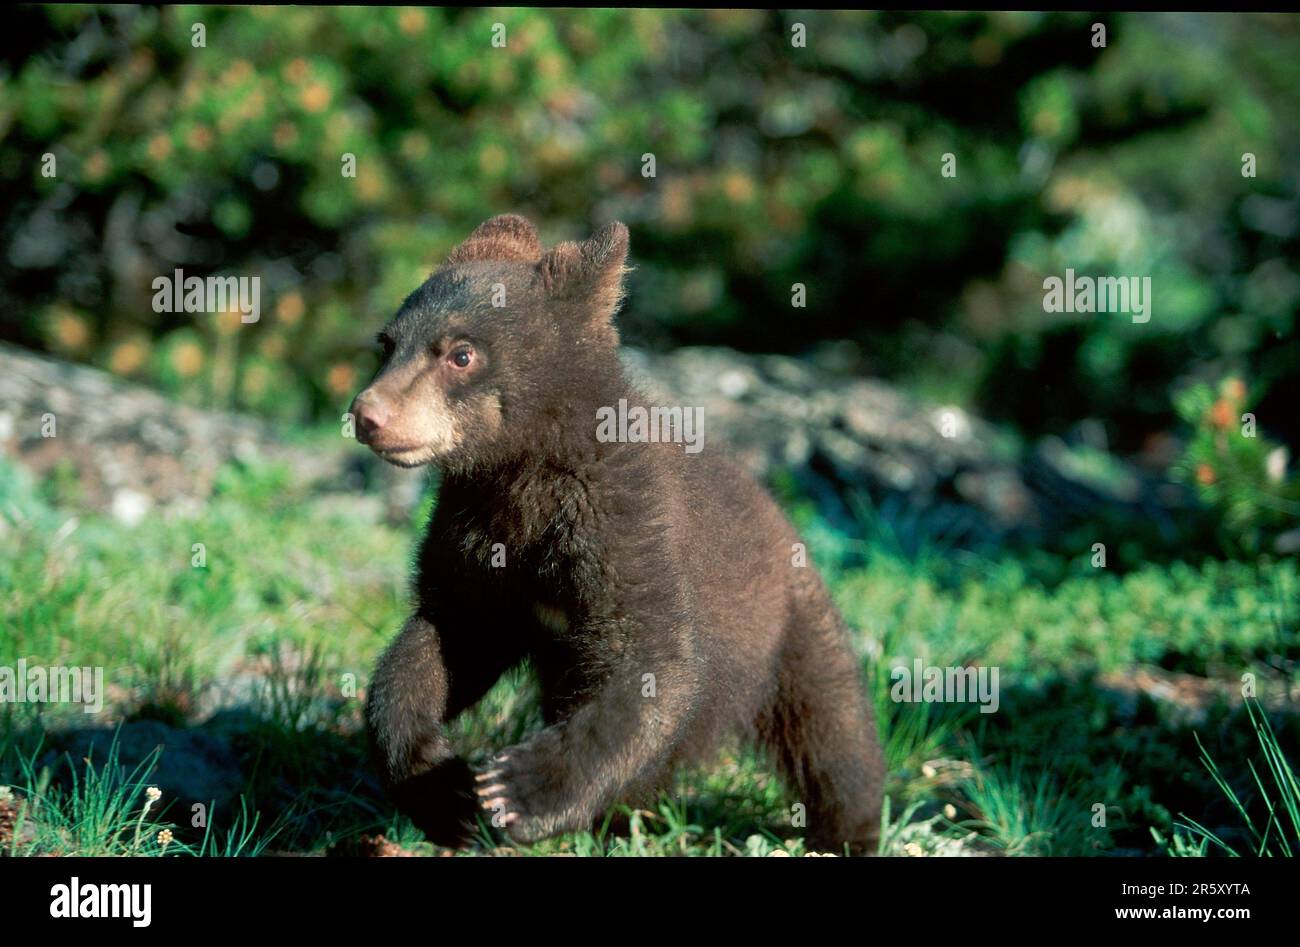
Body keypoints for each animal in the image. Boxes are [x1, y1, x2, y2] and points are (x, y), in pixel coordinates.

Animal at [351, 214, 884, 853]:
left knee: (834, 733)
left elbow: (649, 657)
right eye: (387, 344)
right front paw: (439, 785)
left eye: (461, 353)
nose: (367, 414)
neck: (522, 474)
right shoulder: (474, 537)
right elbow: (443, 638)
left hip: (795, 626)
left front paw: (519, 791)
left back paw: (848, 828)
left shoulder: (623, 524)